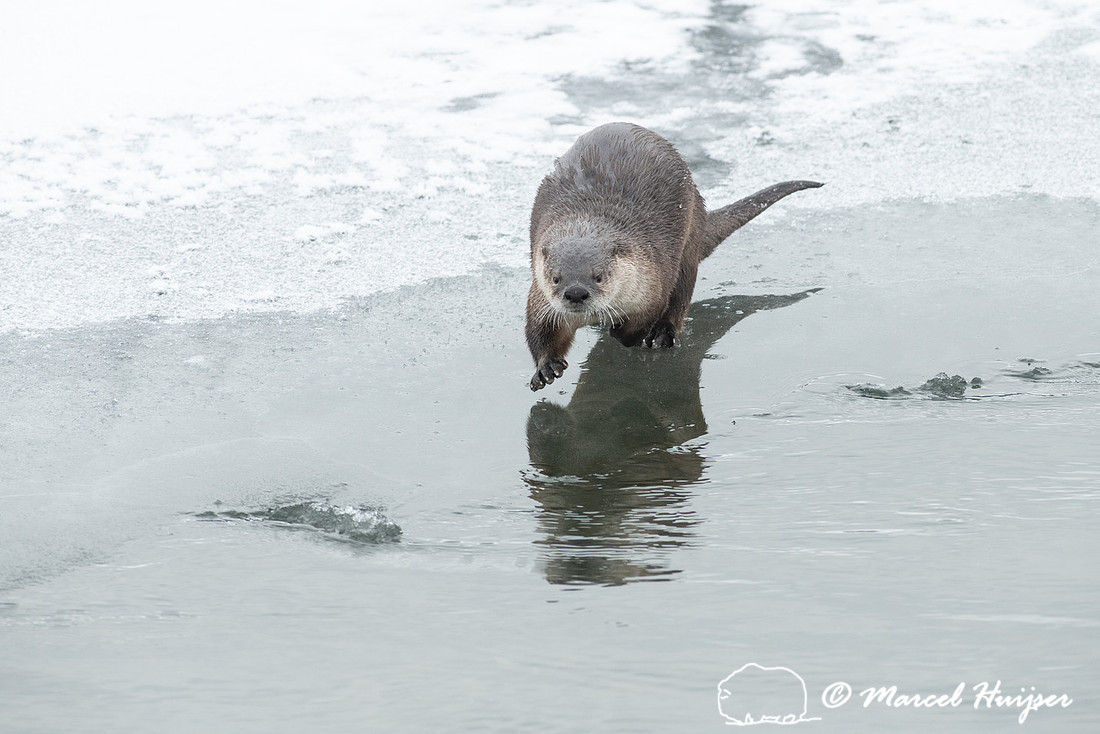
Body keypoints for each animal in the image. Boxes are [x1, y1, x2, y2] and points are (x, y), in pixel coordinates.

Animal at [526, 122, 822, 391]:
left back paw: (663, 335)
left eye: (598, 276)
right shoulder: (540, 298)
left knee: (681, 296)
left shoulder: (652, 281)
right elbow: (539, 330)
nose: (576, 293)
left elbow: (645, 317)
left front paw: (628, 334)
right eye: (555, 278)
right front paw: (546, 367)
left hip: (688, 244)